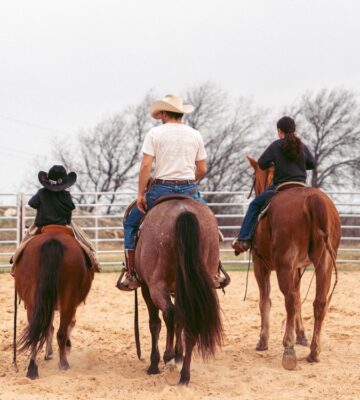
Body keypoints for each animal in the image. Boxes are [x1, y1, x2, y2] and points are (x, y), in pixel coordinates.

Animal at [14, 227, 95, 380]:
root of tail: (52, 240)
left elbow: (48, 327)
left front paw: (49, 352)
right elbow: (66, 324)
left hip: (35, 301)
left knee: (36, 330)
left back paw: (32, 368)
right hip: (67, 299)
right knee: (61, 330)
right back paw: (63, 363)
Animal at [135, 197, 225, 384]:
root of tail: (184, 211)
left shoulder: (146, 288)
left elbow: (155, 323)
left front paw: (155, 364)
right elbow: (180, 320)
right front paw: (179, 355)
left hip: (156, 286)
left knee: (168, 313)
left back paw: (168, 355)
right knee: (189, 321)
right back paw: (184, 375)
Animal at [246, 158, 342, 370]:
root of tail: (313, 200)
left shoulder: (261, 265)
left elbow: (266, 300)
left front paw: (263, 340)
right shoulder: (297, 268)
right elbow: (298, 298)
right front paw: (302, 336)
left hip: (283, 266)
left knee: (288, 299)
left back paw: (288, 349)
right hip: (324, 263)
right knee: (319, 302)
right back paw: (313, 352)